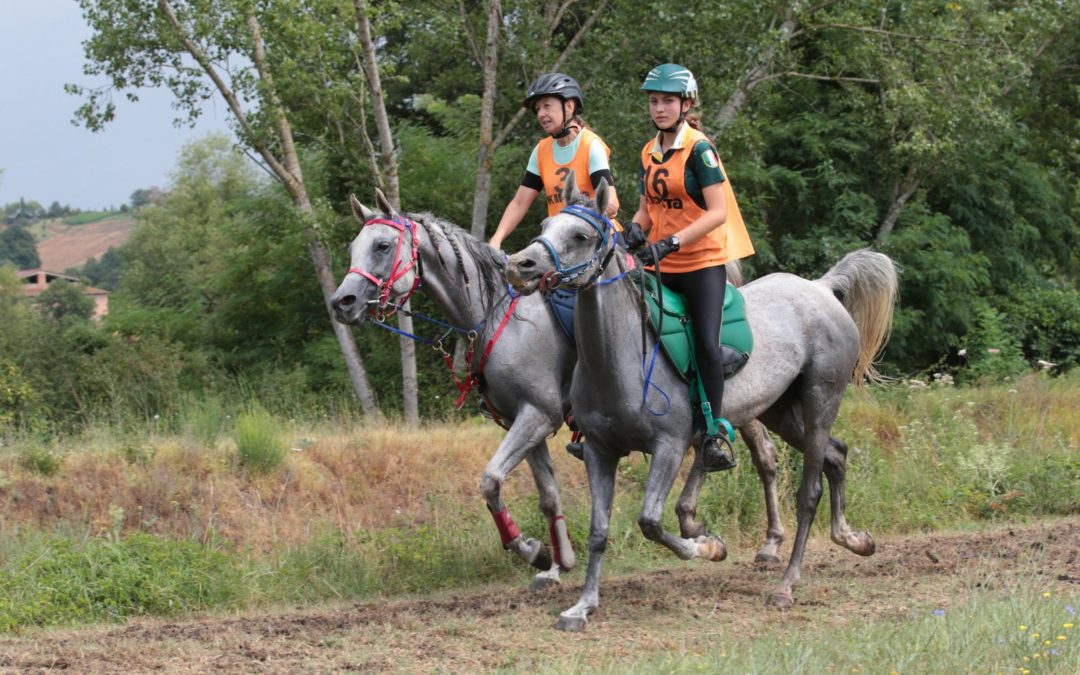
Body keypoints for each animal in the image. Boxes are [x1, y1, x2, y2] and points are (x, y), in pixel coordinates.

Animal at [326, 190, 786, 587]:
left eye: (383, 245)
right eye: (353, 247)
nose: (342, 303)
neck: (500, 317)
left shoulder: (537, 415)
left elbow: (491, 479)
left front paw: (533, 551)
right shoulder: (521, 421)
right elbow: (546, 495)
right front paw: (556, 561)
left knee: (756, 455)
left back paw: (768, 543)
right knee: (716, 449)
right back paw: (697, 523)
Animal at [505, 176, 902, 630]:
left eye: (580, 236)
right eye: (545, 223)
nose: (519, 265)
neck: (622, 356)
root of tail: (819, 288)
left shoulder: (669, 446)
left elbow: (650, 522)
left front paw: (709, 546)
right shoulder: (600, 452)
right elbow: (599, 530)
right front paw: (583, 606)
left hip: (820, 401)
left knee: (809, 491)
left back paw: (786, 583)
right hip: (780, 412)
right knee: (837, 454)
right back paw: (853, 538)